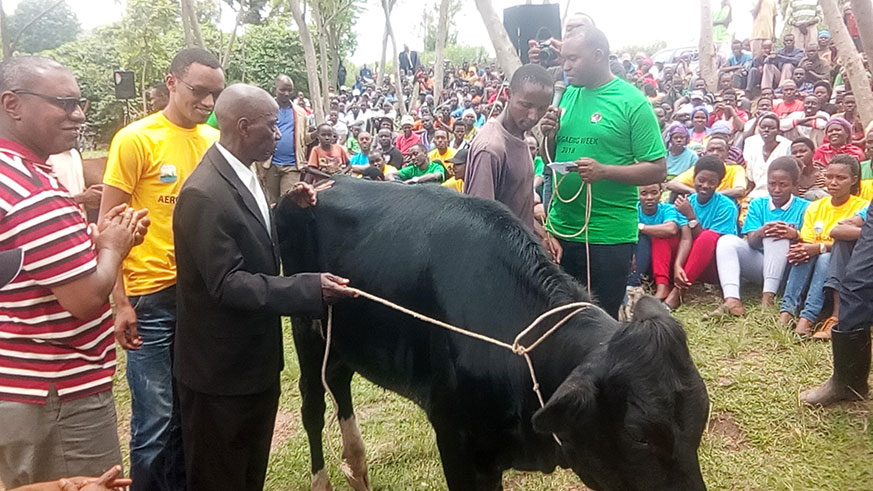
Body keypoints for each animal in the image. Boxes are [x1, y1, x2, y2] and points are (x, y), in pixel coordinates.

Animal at [278, 179, 708, 491]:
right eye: (639, 436)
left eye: (701, 414)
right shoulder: (457, 440)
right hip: (305, 327)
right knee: (313, 405)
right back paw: (323, 481)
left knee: (338, 380)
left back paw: (358, 468)